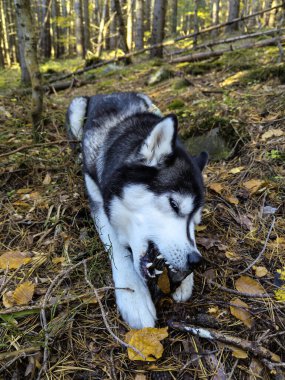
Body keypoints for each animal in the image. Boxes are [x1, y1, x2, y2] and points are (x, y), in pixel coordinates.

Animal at [66, 93, 206, 330]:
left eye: (195, 221)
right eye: (174, 204)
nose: (196, 261)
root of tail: (109, 92)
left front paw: (186, 280)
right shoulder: (98, 201)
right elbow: (118, 249)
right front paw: (134, 296)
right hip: (77, 109)